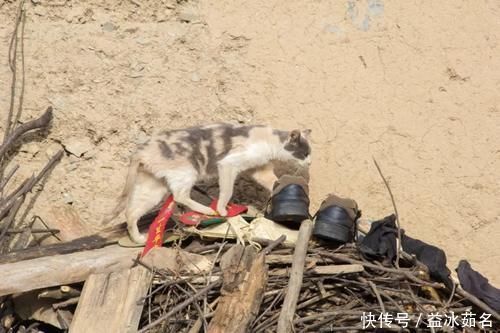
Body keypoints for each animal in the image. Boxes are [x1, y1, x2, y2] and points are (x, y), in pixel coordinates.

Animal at [105, 123, 310, 243]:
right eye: (305, 153)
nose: (310, 162)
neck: (270, 140)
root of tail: (141, 151)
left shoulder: (260, 169)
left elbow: (274, 181)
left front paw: (285, 185)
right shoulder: (228, 164)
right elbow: (226, 191)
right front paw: (222, 209)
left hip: (153, 188)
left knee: (131, 212)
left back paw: (138, 238)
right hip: (187, 172)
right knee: (180, 196)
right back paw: (207, 210)